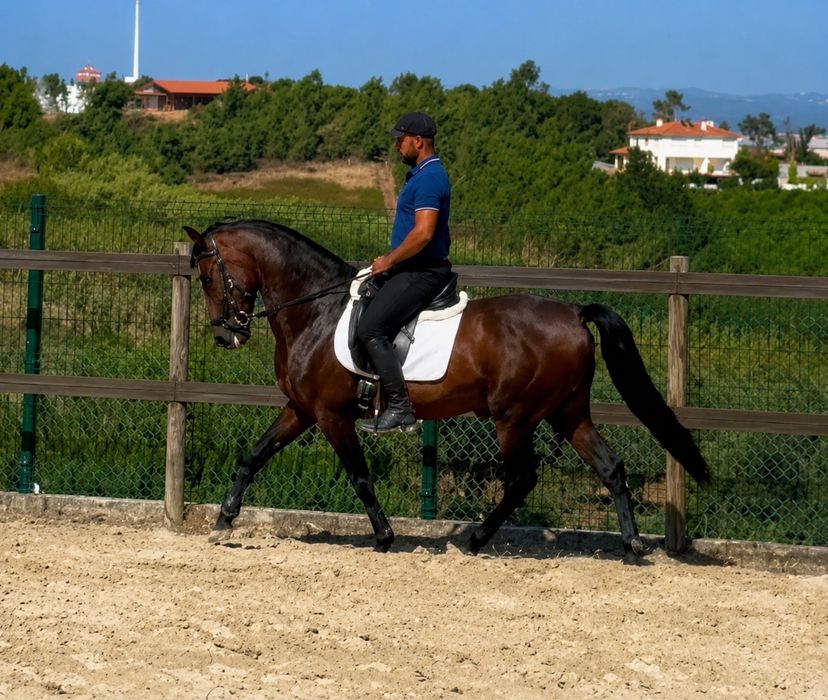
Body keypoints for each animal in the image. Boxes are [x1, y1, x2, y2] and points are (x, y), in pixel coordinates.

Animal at [184, 219, 710, 560]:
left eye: (208, 277)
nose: (226, 335)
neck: (316, 311)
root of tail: (574, 314)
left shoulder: (332, 415)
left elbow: (359, 476)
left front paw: (384, 537)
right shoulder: (301, 408)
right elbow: (254, 455)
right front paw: (224, 519)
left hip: (514, 416)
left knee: (523, 478)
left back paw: (476, 541)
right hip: (567, 411)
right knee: (610, 466)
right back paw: (632, 545)